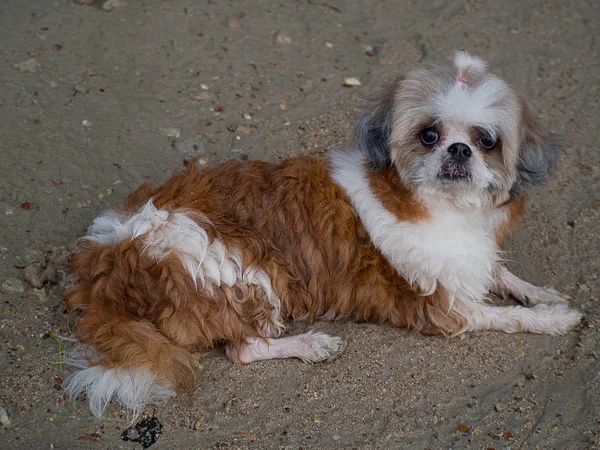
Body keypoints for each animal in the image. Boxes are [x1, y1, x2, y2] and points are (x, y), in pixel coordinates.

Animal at [64, 51, 580, 418]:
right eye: (429, 135)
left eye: (486, 140)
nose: (458, 149)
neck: (441, 206)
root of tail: (113, 254)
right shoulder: (445, 306)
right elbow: (507, 317)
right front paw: (551, 318)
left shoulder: (470, 260)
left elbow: (500, 272)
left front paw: (539, 292)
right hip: (243, 267)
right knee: (244, 348)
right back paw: (311, 345)